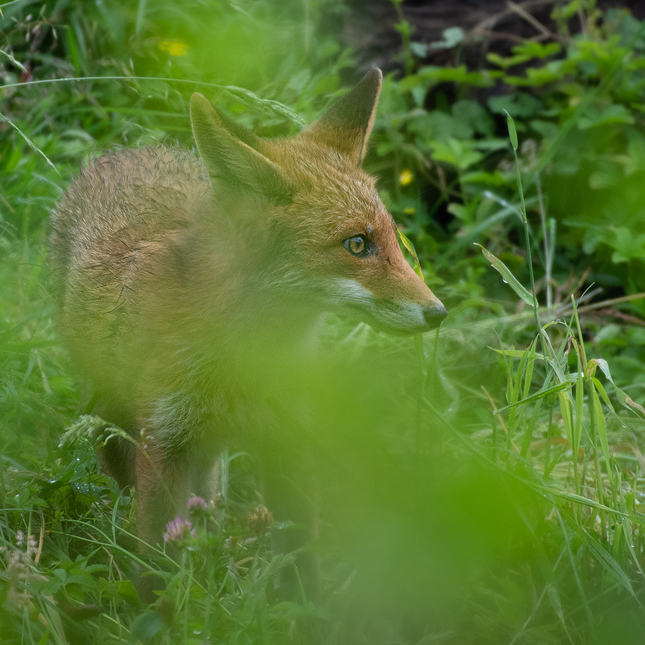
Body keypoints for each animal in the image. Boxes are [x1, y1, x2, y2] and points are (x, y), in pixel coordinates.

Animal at [50, 68, 446, 600]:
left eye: (391, 240)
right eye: (357, 245)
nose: (438, 312)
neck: (243, 366)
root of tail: (128, 150)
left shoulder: (291, 440)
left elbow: (301, 564)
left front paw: (303, 608)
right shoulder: (162, 445)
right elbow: (156, 569)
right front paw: (158, 611)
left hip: (202, 453)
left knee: (210, 503)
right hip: (112, 423)